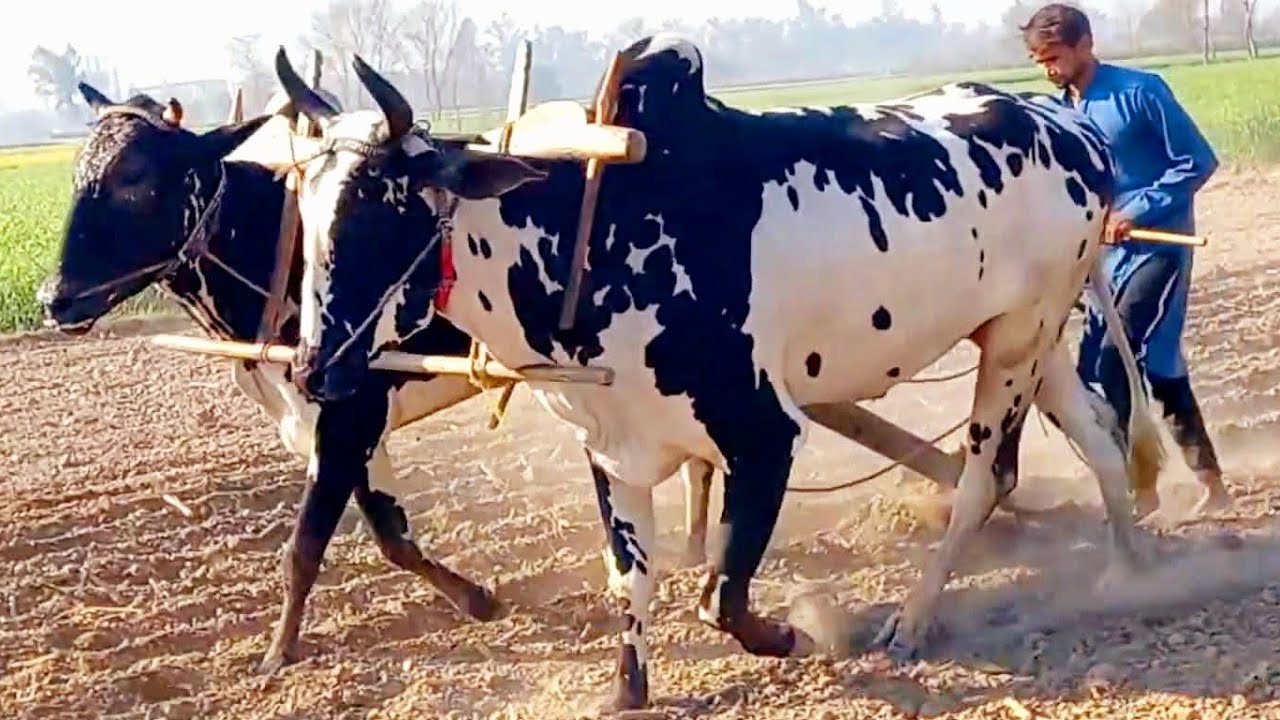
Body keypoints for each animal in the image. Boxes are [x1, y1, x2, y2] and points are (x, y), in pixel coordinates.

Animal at [31, 83, 718, 671]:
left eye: (138, 179)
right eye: (80, 173)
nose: (53, 298)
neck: (283, 254)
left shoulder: (347, 418)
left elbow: (305, 547)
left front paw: (277, 654)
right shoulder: (336, 422)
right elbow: (392, 536)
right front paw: (478, 600)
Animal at [273, 35, 1164, 710]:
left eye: (387, 202)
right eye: (305, 206)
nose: (315, 368)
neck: (592, 232)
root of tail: (1063, 123)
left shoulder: (763, 435)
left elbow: (719, 596)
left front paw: (795, 633)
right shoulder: (610, 448)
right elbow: (631, 582)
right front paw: (627, 689)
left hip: (1014, 346)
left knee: (983, 479)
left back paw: (914, 620)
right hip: (1033, 341)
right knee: (1100, 434)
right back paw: (1124, 572)